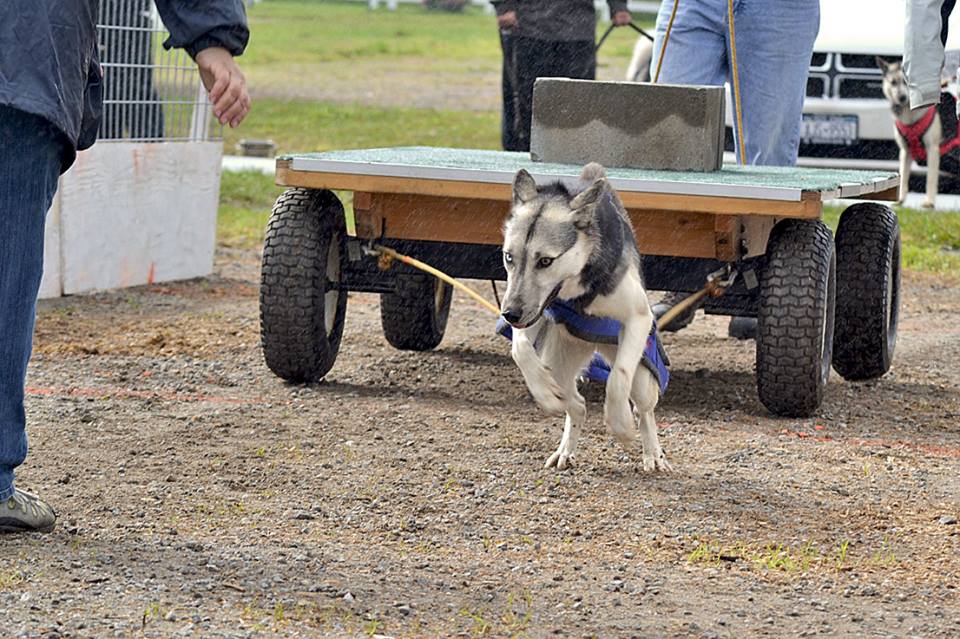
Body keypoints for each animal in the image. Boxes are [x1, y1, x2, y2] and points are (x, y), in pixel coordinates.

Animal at [502, 165, 668, 472]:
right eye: (509, 257)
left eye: (545, 261)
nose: (509, 314)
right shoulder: (531, 313)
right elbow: (520, 350)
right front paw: (545, 394)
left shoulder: (638, 317)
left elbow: (618, 378)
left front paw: (620, 425)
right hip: (558, 364)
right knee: (577, 404)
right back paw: (564, 448)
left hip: (641, 375)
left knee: (644, 411)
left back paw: (653, 454)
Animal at [880, 56, 940, 209]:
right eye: (893, 82)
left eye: (906, 81)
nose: (901, 98)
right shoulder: (905, 151)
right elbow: (903, 176)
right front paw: (900, 199)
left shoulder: (933, 149)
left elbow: (931, 177)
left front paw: (929, 201)